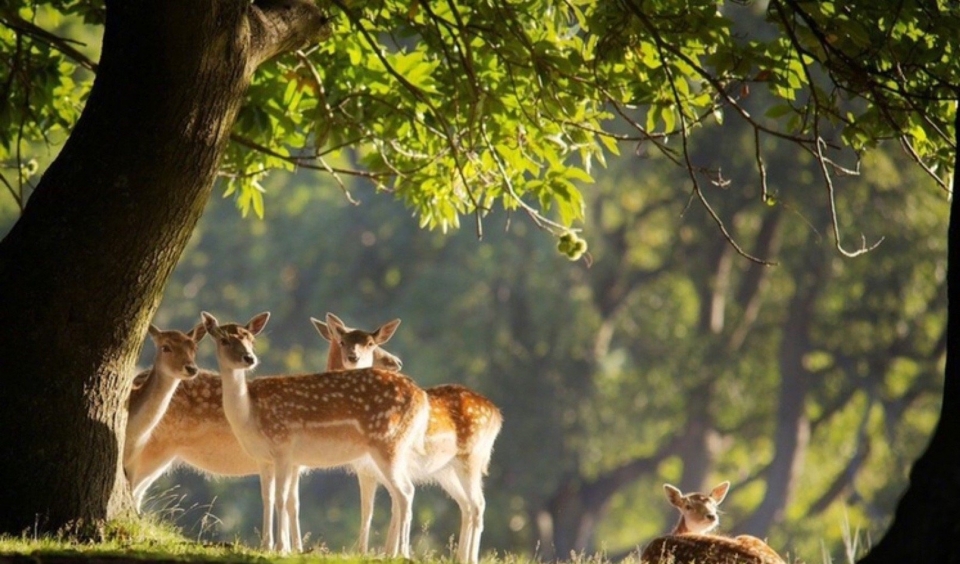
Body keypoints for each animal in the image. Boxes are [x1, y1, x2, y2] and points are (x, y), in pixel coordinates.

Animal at [202, 312, 428, 556]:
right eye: (224, 340)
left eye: (251, 340)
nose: (249, 358)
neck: (248, 415)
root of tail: (422, 397)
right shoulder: (264, 458)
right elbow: (267, 498)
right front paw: (266, 546)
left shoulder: (283, 448)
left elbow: (282, 498)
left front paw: (281, 548)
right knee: (400, 493)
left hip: (388, 443)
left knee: (406, 492)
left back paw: (402, 553)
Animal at [320, 310, 502, 560]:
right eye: (342, 341)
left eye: (372, 344)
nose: (396, 362)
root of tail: (497, 415)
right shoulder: (366, 467)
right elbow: (374, 509)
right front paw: (382, 553)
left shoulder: (378, 465)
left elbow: (386, 507)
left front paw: (382, 553)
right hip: (446, 471)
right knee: (466, 505)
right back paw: (460, 557)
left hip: (471, 458)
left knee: (478, 504)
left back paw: (470, 558)